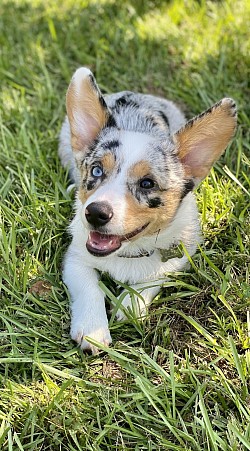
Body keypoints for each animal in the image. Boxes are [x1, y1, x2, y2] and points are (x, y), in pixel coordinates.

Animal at [58, 69, 236, 354]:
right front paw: (93, 330)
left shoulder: (179, 258)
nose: (94, 213)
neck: (129, 252)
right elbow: (90, 287)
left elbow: (152, 279)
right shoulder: (76, 257)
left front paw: (130, 305)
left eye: (147, 184)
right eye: (96, 170)